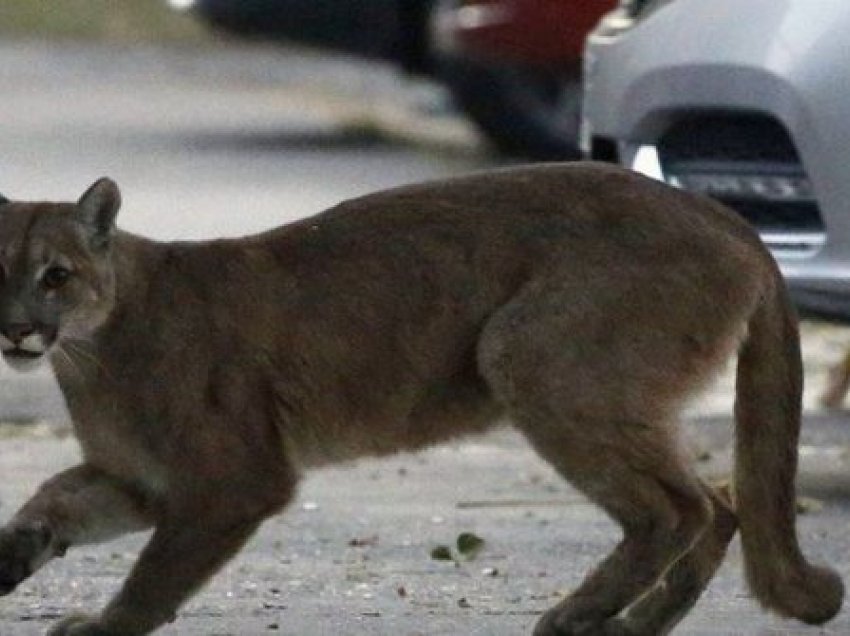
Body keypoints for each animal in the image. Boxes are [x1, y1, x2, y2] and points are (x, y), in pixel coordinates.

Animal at [0, 165, 840, 636]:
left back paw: (579, 616)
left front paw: (108, 625)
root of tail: (725, 216)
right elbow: (54, 499)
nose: (14, 328)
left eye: (56, 276)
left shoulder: (231, 483)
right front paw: (13, 555)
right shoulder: (139, 479)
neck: (89, 353)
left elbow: (156, 573)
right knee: (722, 501)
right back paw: (634, 624)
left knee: (679, 507)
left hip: (529, 354)